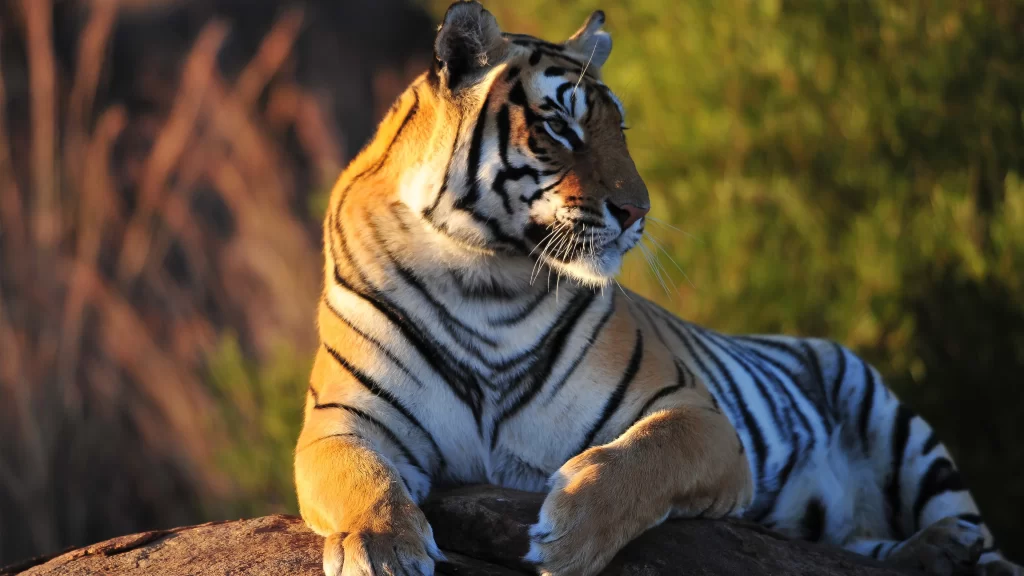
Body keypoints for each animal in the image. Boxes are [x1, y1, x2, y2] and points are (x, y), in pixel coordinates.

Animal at [293, 2, 1022, 576]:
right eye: (560, 127)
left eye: (620, 129)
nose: (638, 211)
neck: (483, 277)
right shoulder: (342, 422)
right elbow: (360, 480)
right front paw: (382, 547)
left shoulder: (699, 415)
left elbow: (641, 459)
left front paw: (571, 531)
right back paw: (934, 552)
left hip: (900, 428)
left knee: (974, 532)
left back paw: (962, 550)